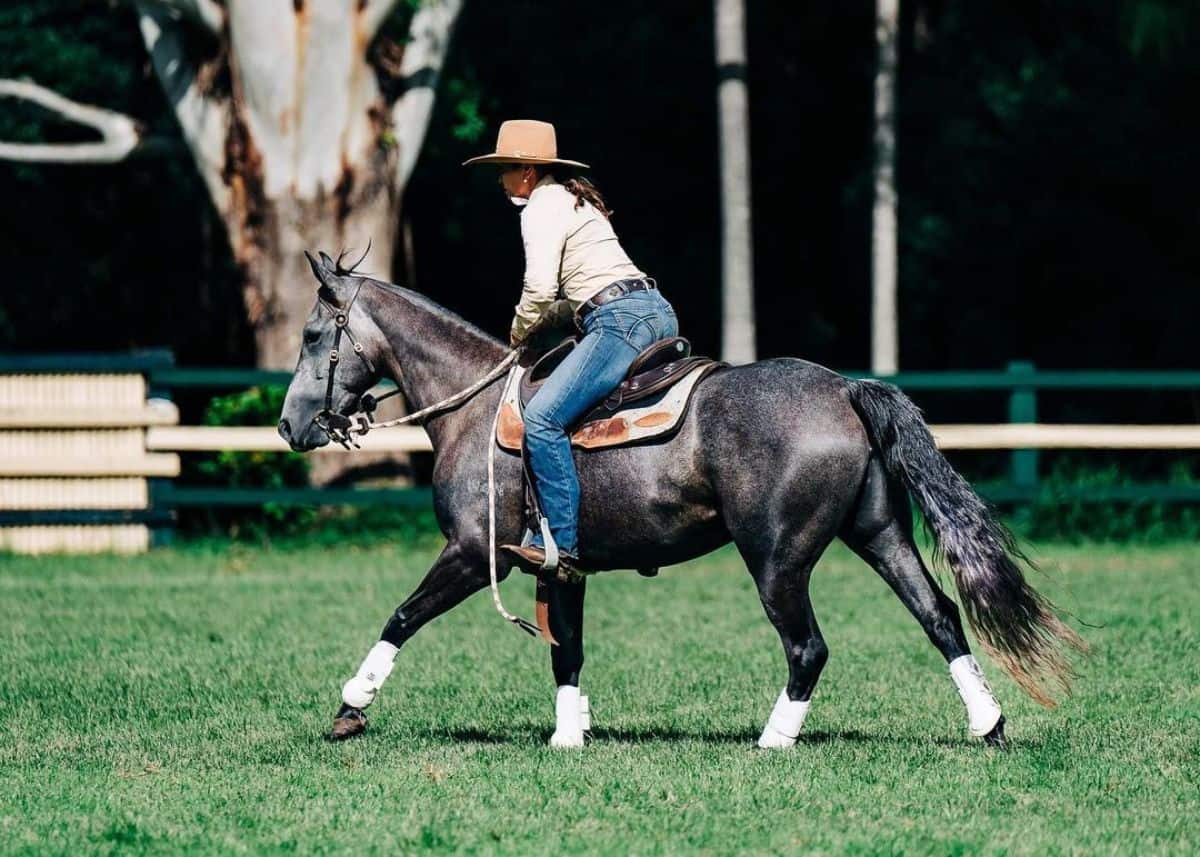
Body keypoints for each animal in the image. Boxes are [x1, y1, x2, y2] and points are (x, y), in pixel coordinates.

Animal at [276, 250, 1084, 744]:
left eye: (315, 333)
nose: (289, 424)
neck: (472, 413)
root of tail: (847, 388)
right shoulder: (561, 565)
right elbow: (568, 650)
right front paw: (570, 733)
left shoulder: (475, 553)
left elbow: (401, 616)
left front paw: (349, 708)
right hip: (879, 533)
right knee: (940, 615)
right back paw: (989, 723)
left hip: (778, 558)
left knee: (808, 646)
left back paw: (772, 739)